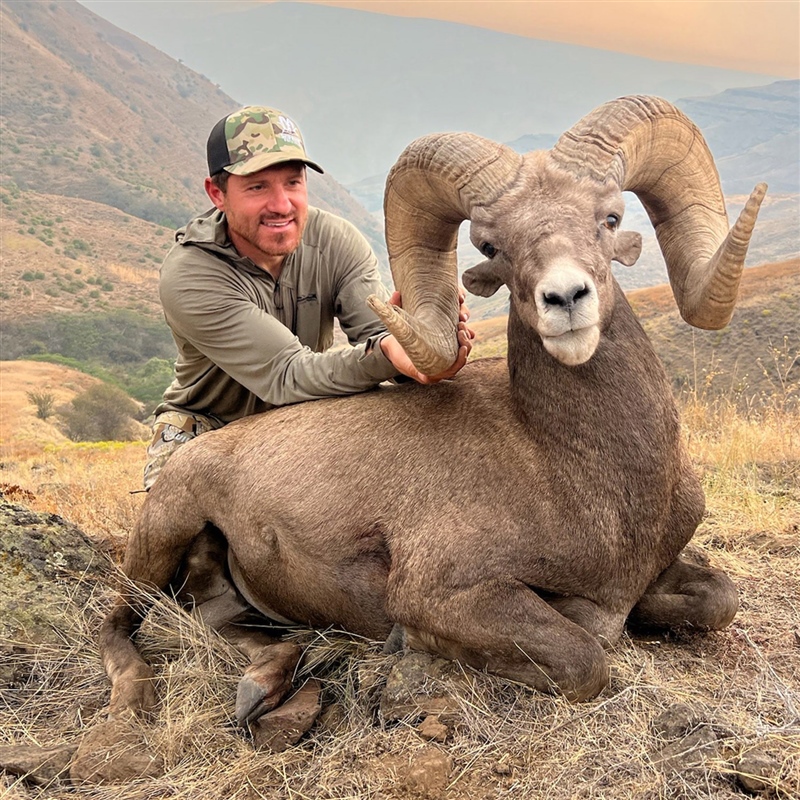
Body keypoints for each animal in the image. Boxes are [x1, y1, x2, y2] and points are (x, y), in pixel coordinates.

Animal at [101, 96, 766, 727]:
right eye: (493, 245)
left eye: (610, 219)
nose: (565, 299)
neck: (590, 482)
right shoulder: (446, 594)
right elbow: (587, 659)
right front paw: (409, 644)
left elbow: (720, 598)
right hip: (159, 539)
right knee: (118, 622)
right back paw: (137, 698)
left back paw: (263, 685)